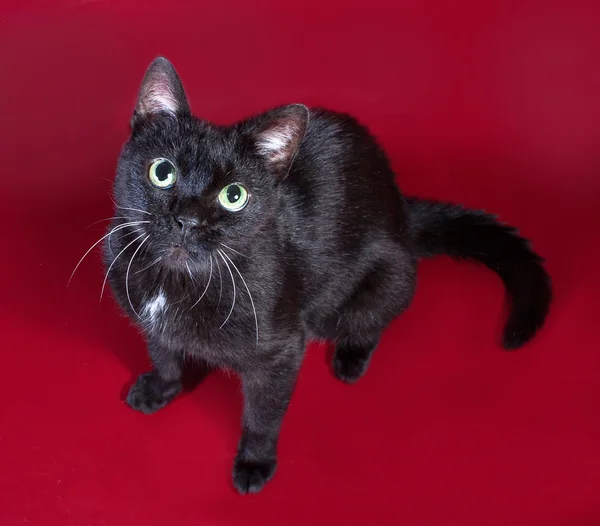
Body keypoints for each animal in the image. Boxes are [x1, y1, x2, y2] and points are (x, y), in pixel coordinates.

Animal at [101, 59, 552, 498]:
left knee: (375, 318)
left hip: (385, 280)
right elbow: (163, 353)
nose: (187, 220)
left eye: (234, 196)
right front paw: (159, 390)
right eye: (162, 172)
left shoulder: (281, 352)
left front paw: (255, 463)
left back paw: (350, 358)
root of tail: (402, 211)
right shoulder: (149, 318)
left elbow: (264, 414)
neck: (175, 280)